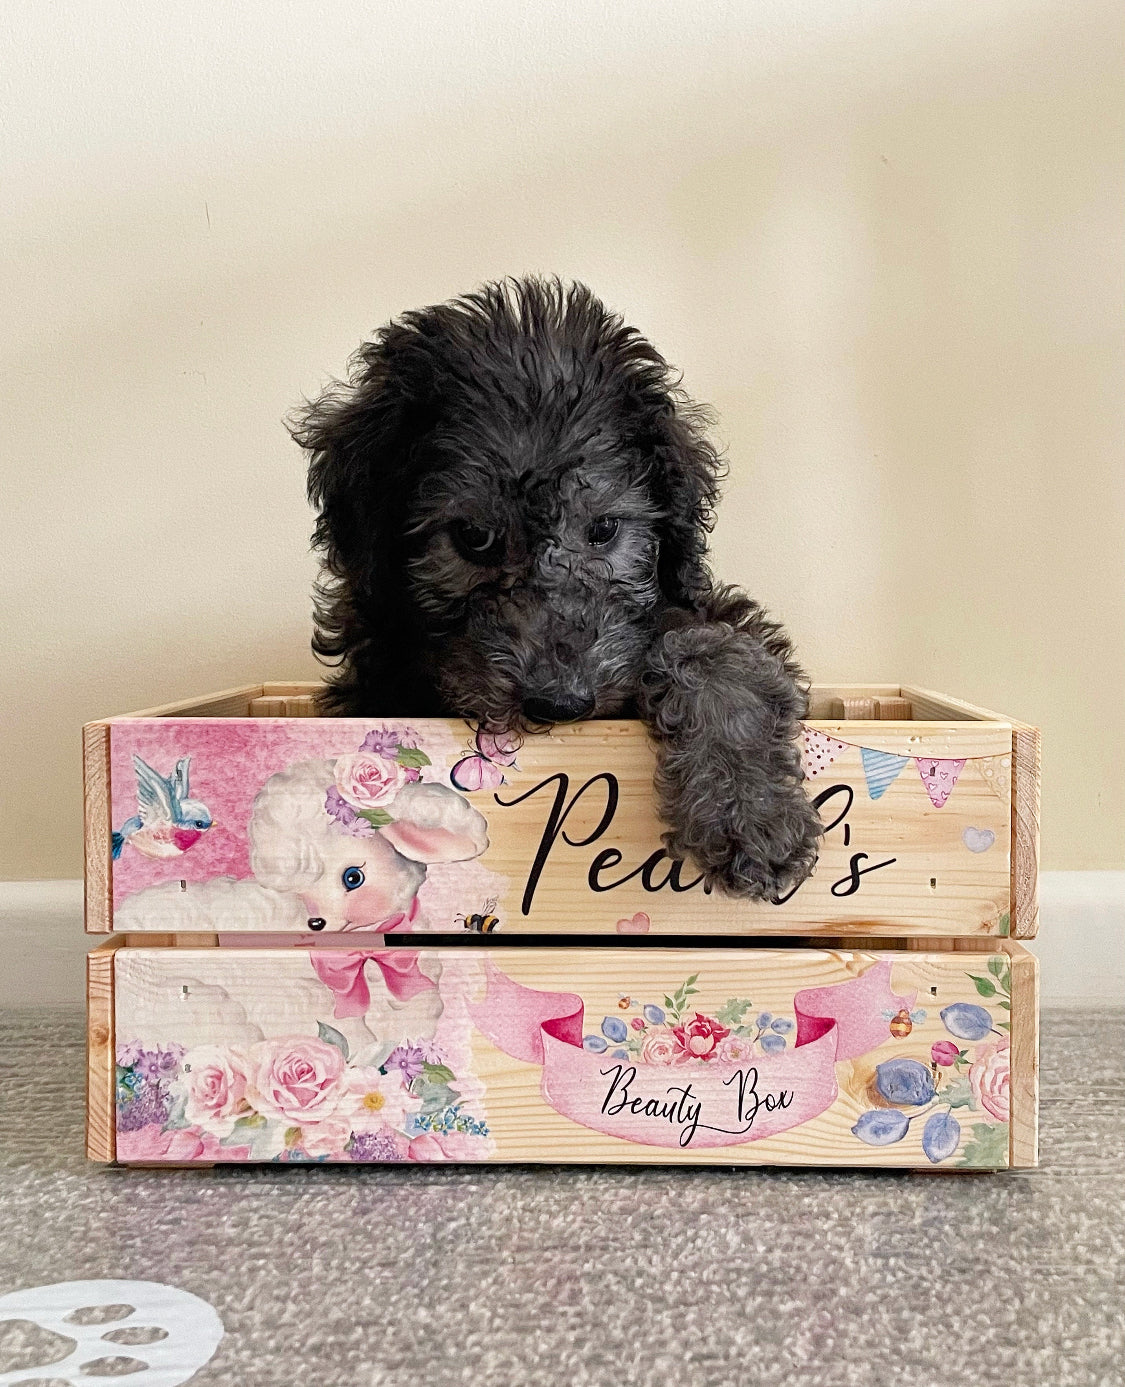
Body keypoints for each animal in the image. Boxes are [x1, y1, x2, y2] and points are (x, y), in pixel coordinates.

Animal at [288, 278, 815, 898]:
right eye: (473, 537)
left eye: (604, 529)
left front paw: (748, 812)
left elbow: (718, 651)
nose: (560, 703)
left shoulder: (692, 600)